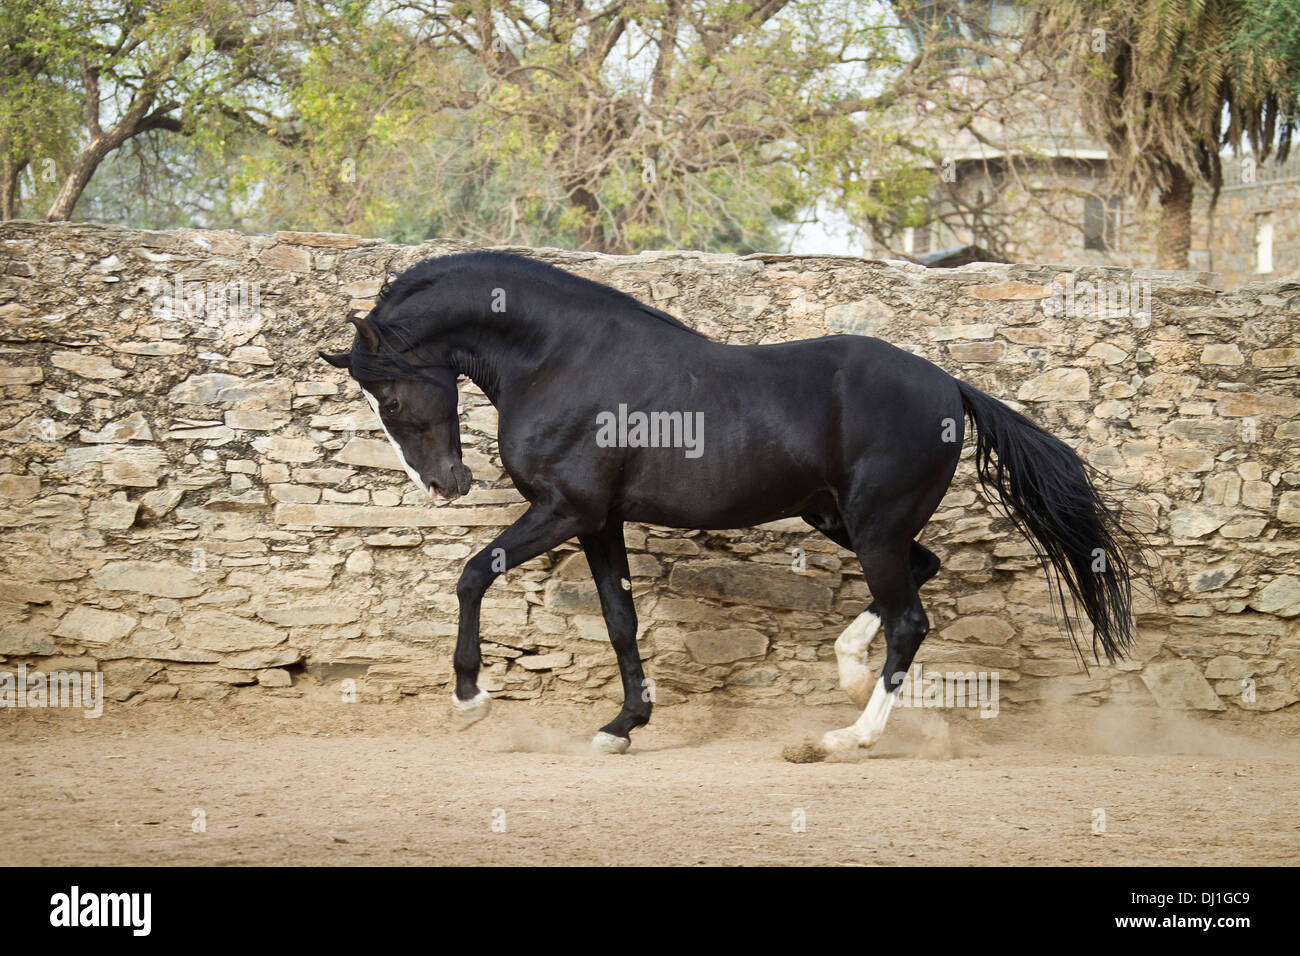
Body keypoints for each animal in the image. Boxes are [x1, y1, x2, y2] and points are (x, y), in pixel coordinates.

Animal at [319, 251, 1140, 757]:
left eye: (391, 396)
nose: (443, 485)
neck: (558, 359)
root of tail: (952, 388)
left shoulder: (566, 511)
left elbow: (471, 575)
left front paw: (470, 696)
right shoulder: (600, 522)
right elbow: (620, 621)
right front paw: (623, 725)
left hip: (871, 526)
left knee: (910, 619)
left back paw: (844, 740)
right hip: (840, 518)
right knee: (923, 573)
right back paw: (847, 674)